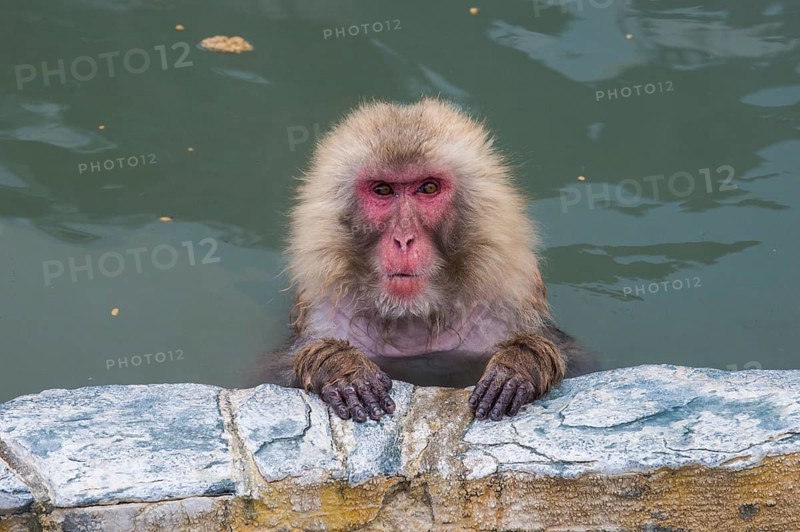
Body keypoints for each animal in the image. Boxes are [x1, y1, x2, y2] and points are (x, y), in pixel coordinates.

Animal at [256, 98, 593, 422]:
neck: (413, 317)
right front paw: (340, 365)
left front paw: (519, 364)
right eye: (382, 190)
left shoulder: (503, 312)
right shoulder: (325, 316)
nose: (404, 239)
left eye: (428, 187)